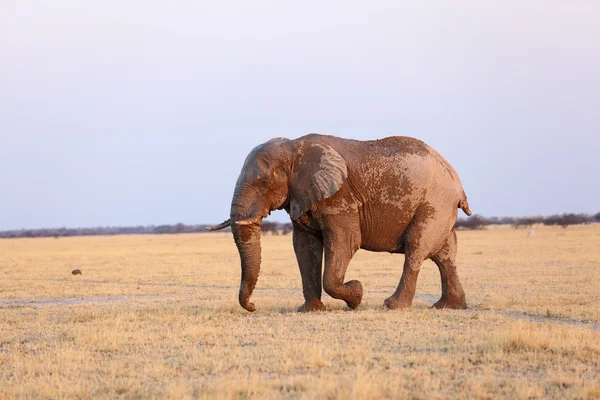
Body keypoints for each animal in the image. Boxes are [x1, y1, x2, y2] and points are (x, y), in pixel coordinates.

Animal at [209, 134, 472, 312]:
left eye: (263, 183)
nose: (253, 306)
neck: (293, 147)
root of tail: (457, 182)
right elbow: (304, 247)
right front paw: (310, 311)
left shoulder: (339, 199)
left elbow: (345, 242)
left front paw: (357, 295)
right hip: (440, 207)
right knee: (445, 254)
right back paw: (449, 306)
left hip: (434, 204)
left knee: (416, 249)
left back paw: (393, 305)